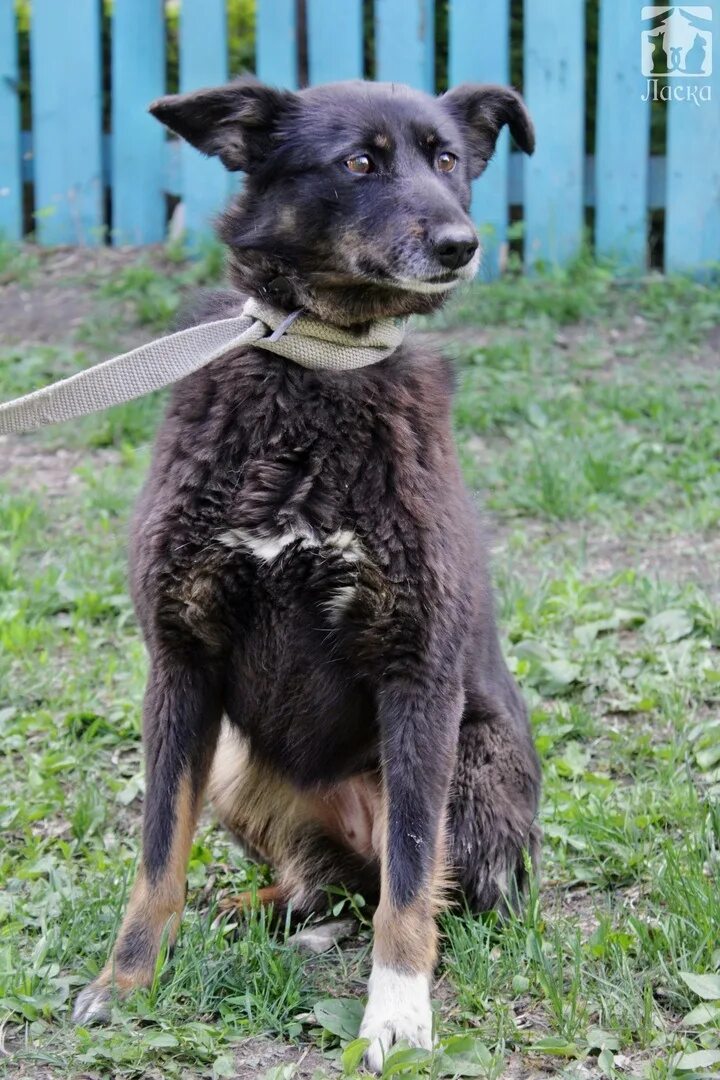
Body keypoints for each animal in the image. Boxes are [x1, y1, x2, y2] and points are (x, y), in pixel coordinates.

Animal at [73, 78, 544, 1071]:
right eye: (360, 161)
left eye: (449, 160)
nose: (462, 244)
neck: (316, 369)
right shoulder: (180, 662)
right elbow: (156, 855)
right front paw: (126, 981)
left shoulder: (418, 675)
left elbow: (412, 879)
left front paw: (397, 1017)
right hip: (234, 769)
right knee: (324, 888)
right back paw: (243, 911)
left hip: (473, 775)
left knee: (412, 890)